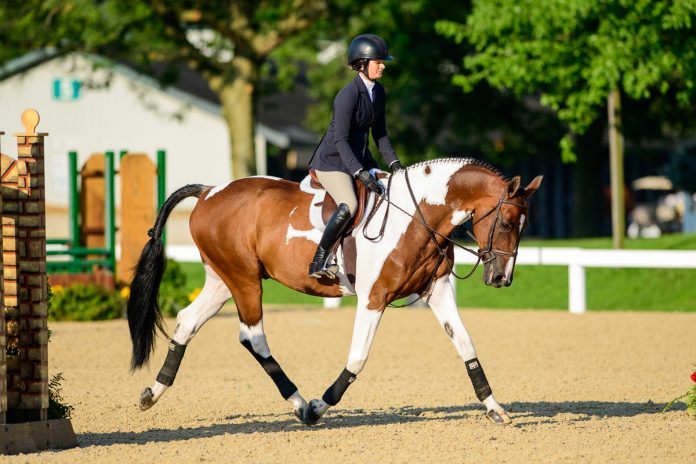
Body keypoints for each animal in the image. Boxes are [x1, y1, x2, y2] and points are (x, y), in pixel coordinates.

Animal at [127, 157, 542, 425]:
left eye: (524, 225)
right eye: (507, 222)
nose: (501, 278)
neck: (418, 216)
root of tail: (210, 191)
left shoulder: (437, 292)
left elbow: (466, 344)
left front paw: (494, 408)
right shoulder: (374, 298)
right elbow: (358, 358)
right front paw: (319, 405)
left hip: (221, 279)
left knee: (187, 322)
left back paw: (151, 393)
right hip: (244, 279)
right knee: (252, 335)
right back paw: (299, 404)